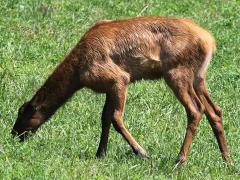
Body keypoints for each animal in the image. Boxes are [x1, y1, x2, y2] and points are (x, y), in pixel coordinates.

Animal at [11, 15, 231, 165]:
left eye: (23, 115)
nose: (13, 134)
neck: (78, 73)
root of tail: (210, 41)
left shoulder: (118, 78)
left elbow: (116, 118)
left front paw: (141, 151)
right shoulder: (109, 87)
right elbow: (105, 117)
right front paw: (100, 153)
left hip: (177, 73)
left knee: (195, 110)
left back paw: (180, 160)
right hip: (198, 78)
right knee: (215, 110)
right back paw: (227, 159)